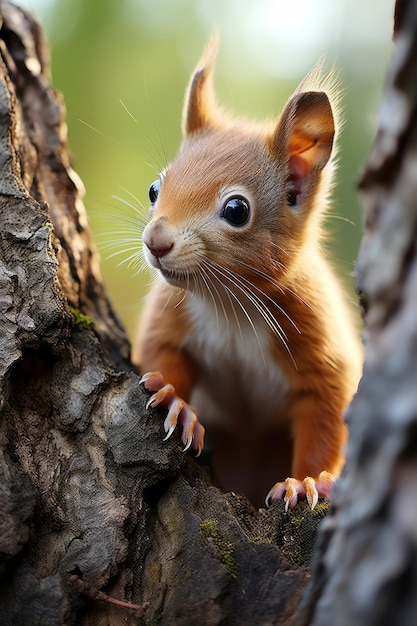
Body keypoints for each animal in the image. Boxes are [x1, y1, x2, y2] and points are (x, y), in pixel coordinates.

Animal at [133, 37, 360, 508]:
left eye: (237, 210)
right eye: (154, 189)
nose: (155, 242)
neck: (230, 304)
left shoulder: (319, 342)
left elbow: (326, 417)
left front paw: (305, 481)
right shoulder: (173, 315)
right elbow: (162, 354)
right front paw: (176, 403)